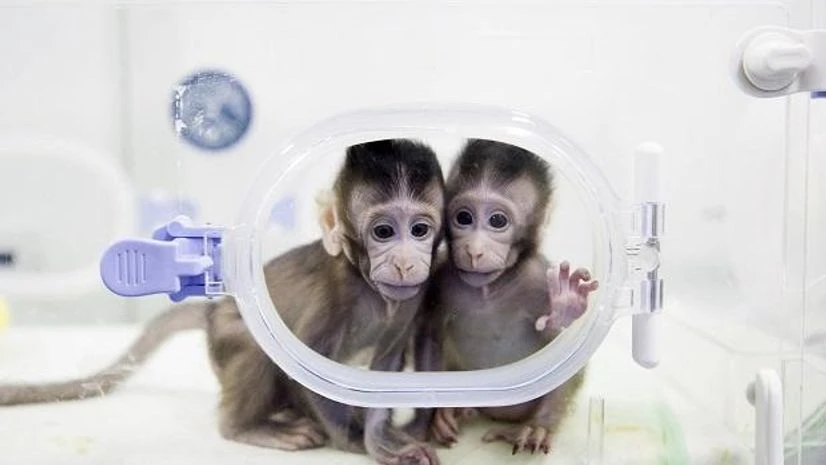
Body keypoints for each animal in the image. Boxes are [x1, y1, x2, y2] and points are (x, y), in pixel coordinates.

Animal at [0, 139, 446, 465]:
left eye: (420, 230)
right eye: (384, 232)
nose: (405, 262)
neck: (368, 286)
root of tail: (216, 306)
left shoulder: (408, 303)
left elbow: (385, 371)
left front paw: (383, 435)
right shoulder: (334, 297)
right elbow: (310, 371)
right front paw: (358, 443)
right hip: (228, 335)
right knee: (255, 349)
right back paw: (247, 427)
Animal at [416, 139, 600, 455]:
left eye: (498, 221)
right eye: (463, 217)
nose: (474, 250)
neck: (489, 291)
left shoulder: (538, 279)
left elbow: (560, 351)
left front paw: (566, 305)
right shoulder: (440, 275)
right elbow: (431, 338)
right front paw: (439, 413)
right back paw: (462, 410)